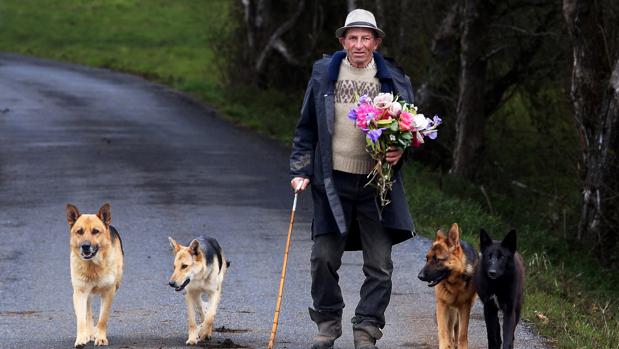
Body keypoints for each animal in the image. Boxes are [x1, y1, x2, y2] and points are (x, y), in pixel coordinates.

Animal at [66, 203, 123, 346]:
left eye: (95, 231)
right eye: (79, 231)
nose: (85, 246)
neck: (93, 266)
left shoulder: (109, 292)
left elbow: (103, 318)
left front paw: (100, 337)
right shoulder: (80, 293)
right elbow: (81, 318)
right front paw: (81, 338)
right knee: (88, 311)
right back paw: (90, 333)